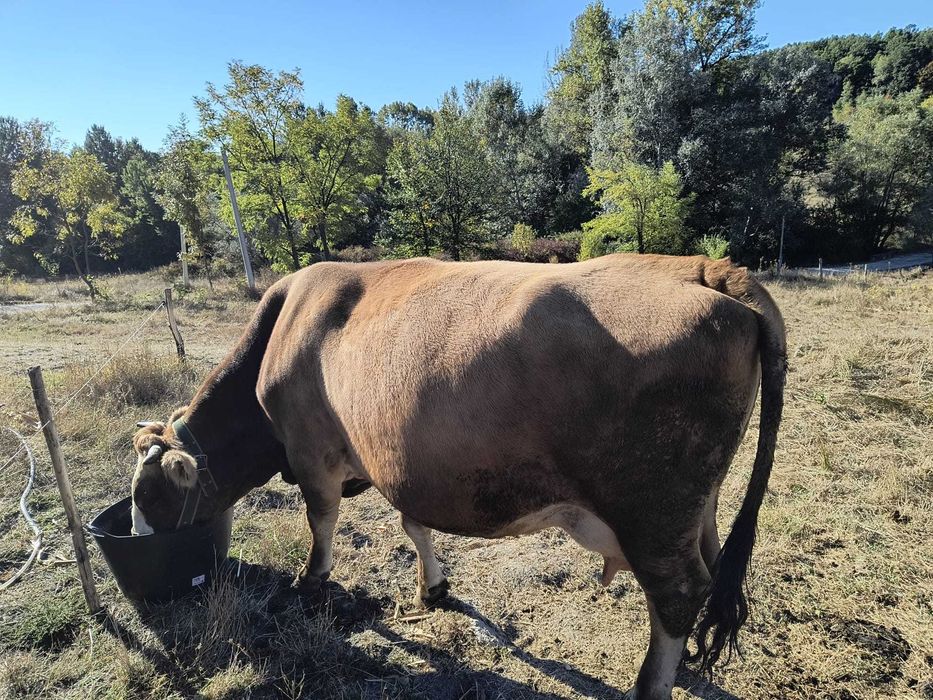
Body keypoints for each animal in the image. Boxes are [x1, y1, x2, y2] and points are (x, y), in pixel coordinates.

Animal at [131, 253, 785, 700]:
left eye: (150, 495)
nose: (138, 543)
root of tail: (706, 268)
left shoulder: (312, 454)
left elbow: (320, 525)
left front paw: (309, 584)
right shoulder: (404, 460)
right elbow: (413, 525)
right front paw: (433, 588)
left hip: (650, 511)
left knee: (678, 593)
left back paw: (650, 686)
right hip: (697, 506)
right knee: (712, 569)